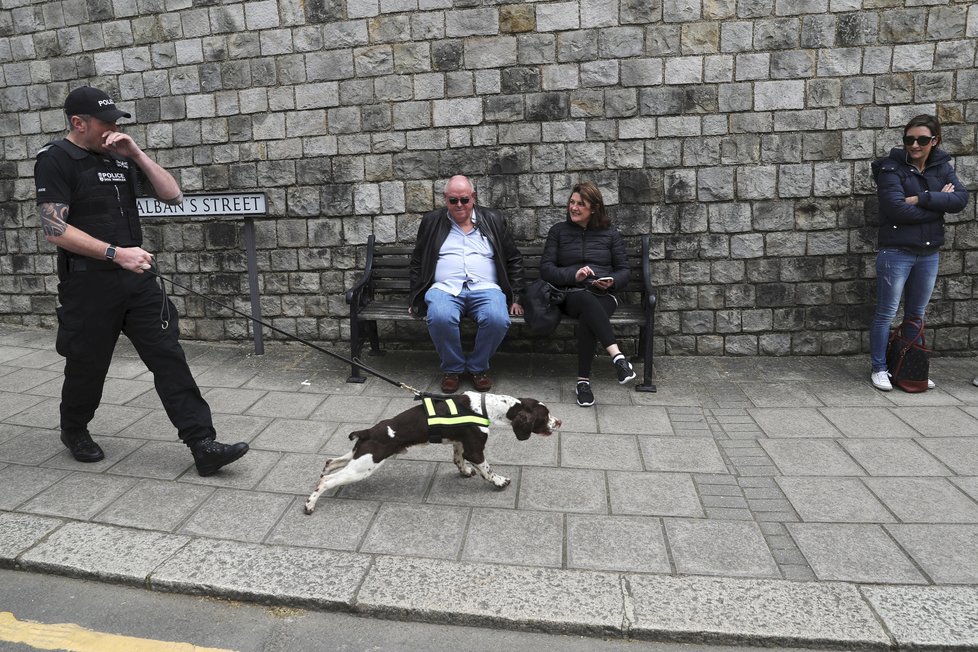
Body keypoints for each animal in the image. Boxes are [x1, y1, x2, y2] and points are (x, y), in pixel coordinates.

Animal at [302, 392, 560, 516]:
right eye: (545, 415)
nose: (560, 422)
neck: (485, 407)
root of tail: (368, 431)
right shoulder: (476, 449)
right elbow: (487, 469)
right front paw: (499, 481)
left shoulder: (459, 442)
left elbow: (458, 459)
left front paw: (465, 472)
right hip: (365, 465)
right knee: (328, 480)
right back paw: (310, 505)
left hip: (360, 455)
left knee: (331, 462)